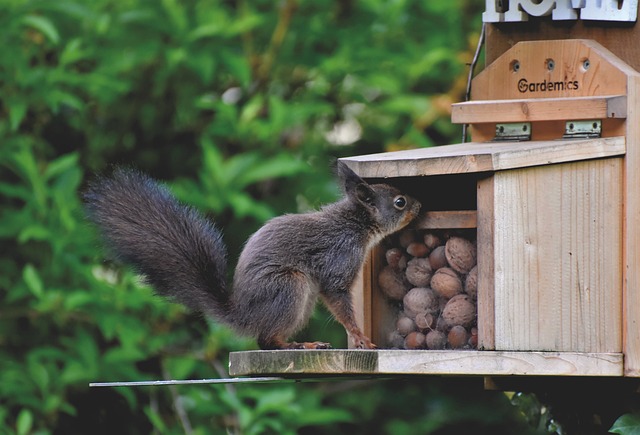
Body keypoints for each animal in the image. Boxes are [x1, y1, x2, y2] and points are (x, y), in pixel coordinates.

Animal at [85, 162, 422, 350]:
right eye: (400, 201)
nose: (420, 204)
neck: (356, 224)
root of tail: (243, 315)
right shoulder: (338, 258)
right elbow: (338, 298)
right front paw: (359, 337)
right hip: (289, 286)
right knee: (266, 341)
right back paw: (299, 344)